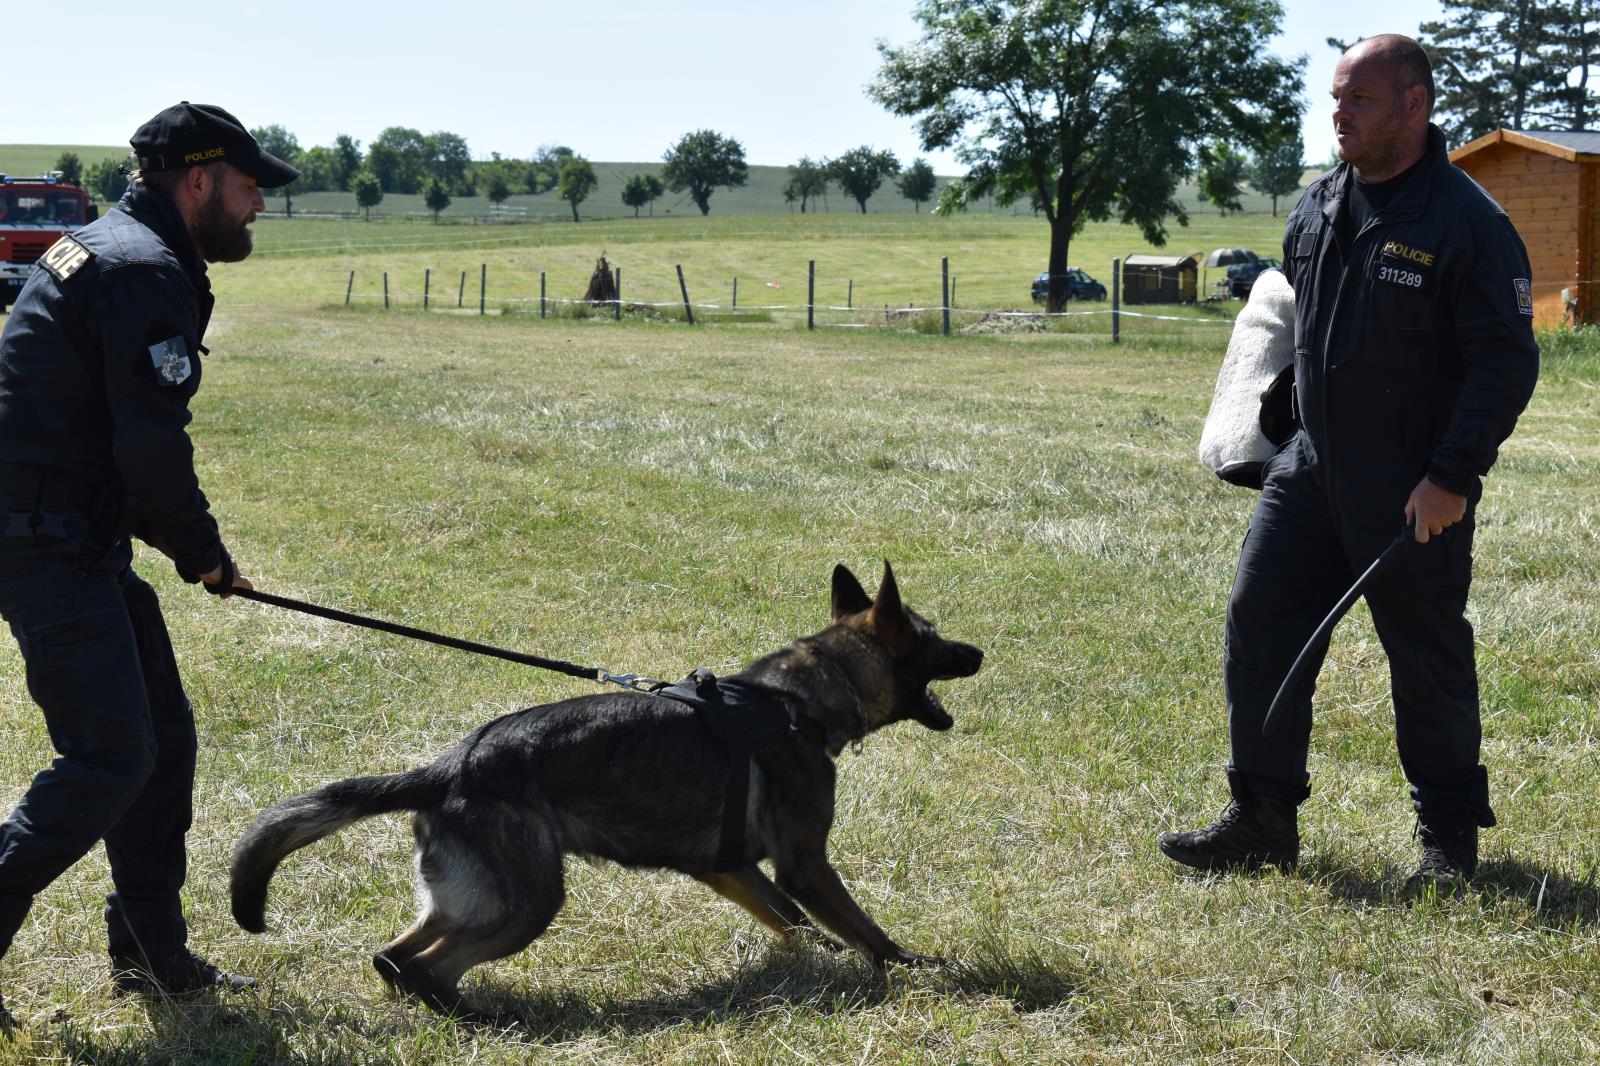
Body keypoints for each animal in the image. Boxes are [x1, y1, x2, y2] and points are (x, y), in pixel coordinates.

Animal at [225, 557, 972, 1011]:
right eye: (935, 638)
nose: (982, 650)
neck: (794, 703)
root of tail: (446, 769)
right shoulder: (805, 864)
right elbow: (861, 927)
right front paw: (913, 967)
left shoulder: (728, 868)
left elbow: (790, 920)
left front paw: (820, 957)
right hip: (528, 902)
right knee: (426, 965)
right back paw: (477, 1017)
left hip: (467, 897)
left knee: (393, 955)